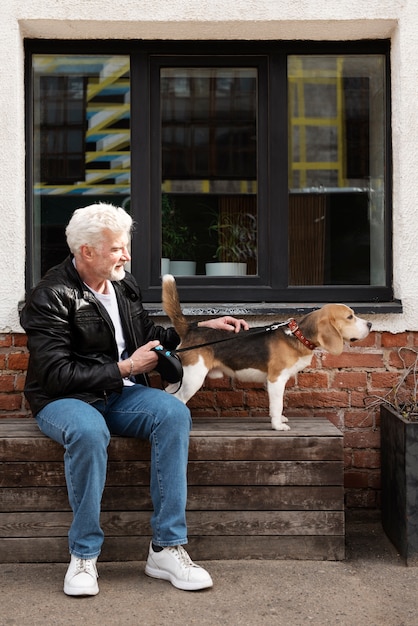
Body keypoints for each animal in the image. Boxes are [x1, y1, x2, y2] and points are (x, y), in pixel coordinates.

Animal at [163, 274, 372, 428]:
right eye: (350, 317)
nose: (370, 324)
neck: (297, 335)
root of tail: (191, 328)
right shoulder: (276, 379)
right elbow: (278, 404)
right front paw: (279, 426)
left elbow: (275, 406)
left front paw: (279, 420)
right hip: (194, 377)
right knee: (178, 399)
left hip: (183, 376)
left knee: (168, 393)